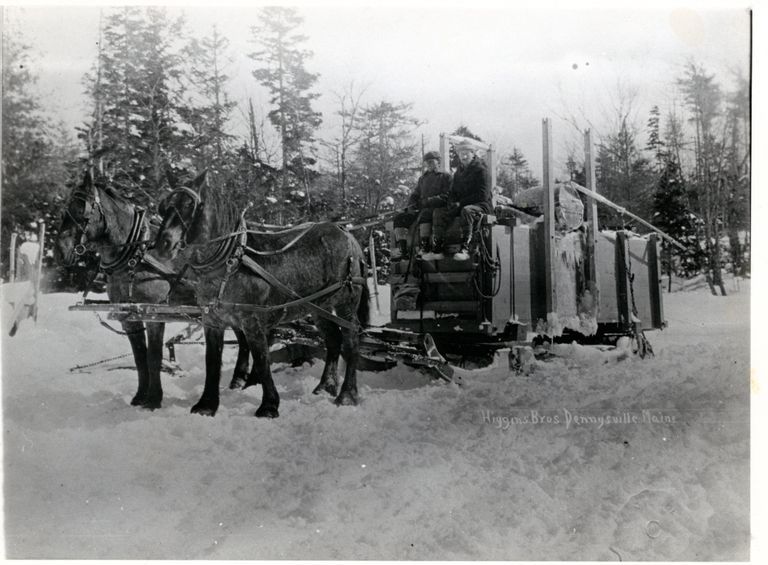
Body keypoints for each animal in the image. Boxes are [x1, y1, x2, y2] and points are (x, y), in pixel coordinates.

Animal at [54, 170, 252, 408]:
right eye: (65, 210)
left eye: (81, 211)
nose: (59, 252)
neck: (136, 255)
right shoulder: (129, 316)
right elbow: (140, 357)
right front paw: (140, 396)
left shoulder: (154, 313)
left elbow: (153, 357)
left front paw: (154, 399)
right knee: (244, 338)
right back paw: (239, 379)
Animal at [148, 174, 370, 416]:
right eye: (164, 206)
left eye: (189, 204)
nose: (163, 244)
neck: (230, 262)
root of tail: (347, 234)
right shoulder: (212, 320)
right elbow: (212, 362)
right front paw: (206, 405)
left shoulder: (252, 320)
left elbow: (262, 360)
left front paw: (269, 405)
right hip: (319, 307)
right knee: (333, 340)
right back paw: (324, 387)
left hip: (346, 303)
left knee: (351, 341)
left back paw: (347, 395)